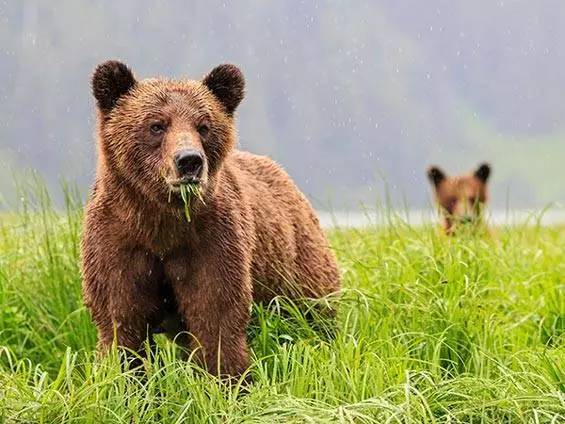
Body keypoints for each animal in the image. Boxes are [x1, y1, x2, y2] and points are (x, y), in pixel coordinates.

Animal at [80, 60, 340, 378]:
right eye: (156, 125)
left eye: (203, 126)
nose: (189, 160)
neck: (161, 221)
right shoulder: (118, 239)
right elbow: (121, 320)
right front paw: (124, 377)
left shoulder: (210, 240)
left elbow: (215, 313)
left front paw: (227, 378)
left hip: (297, 263)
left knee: (314, 312)